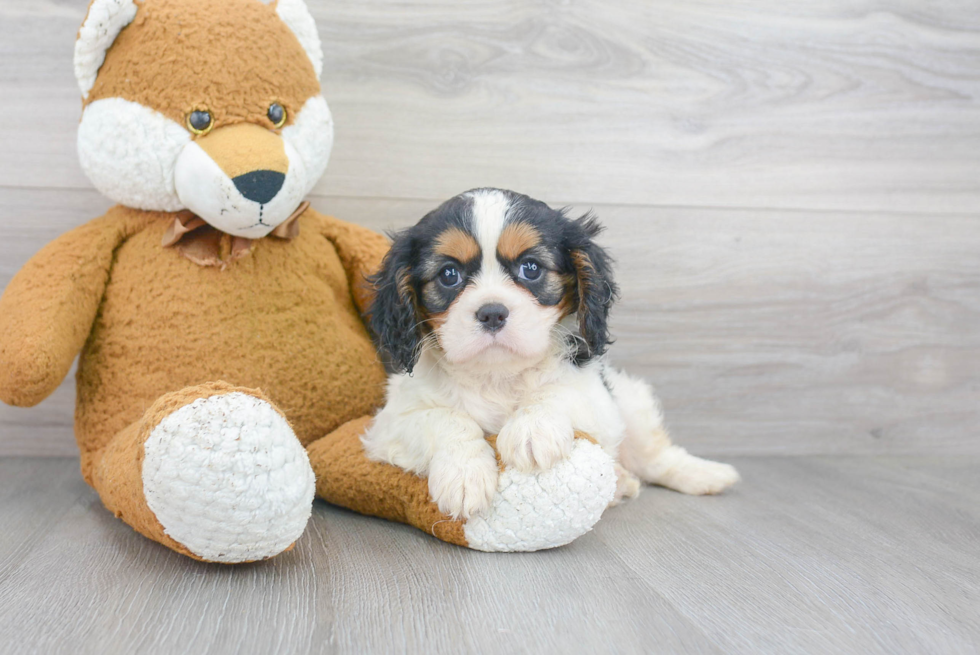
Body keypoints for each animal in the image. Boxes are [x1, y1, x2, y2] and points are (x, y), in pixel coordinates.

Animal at [364, 188, 740, 516]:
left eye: (531, 268)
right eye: (449, 274)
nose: (492, 313)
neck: (496, 374)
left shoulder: (596, 396)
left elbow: (556, 392)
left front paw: (532, 429)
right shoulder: (391, 421)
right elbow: (444, 418)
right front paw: (464, 474)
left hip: (632, 401)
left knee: (655, 457)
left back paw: (703, 475)